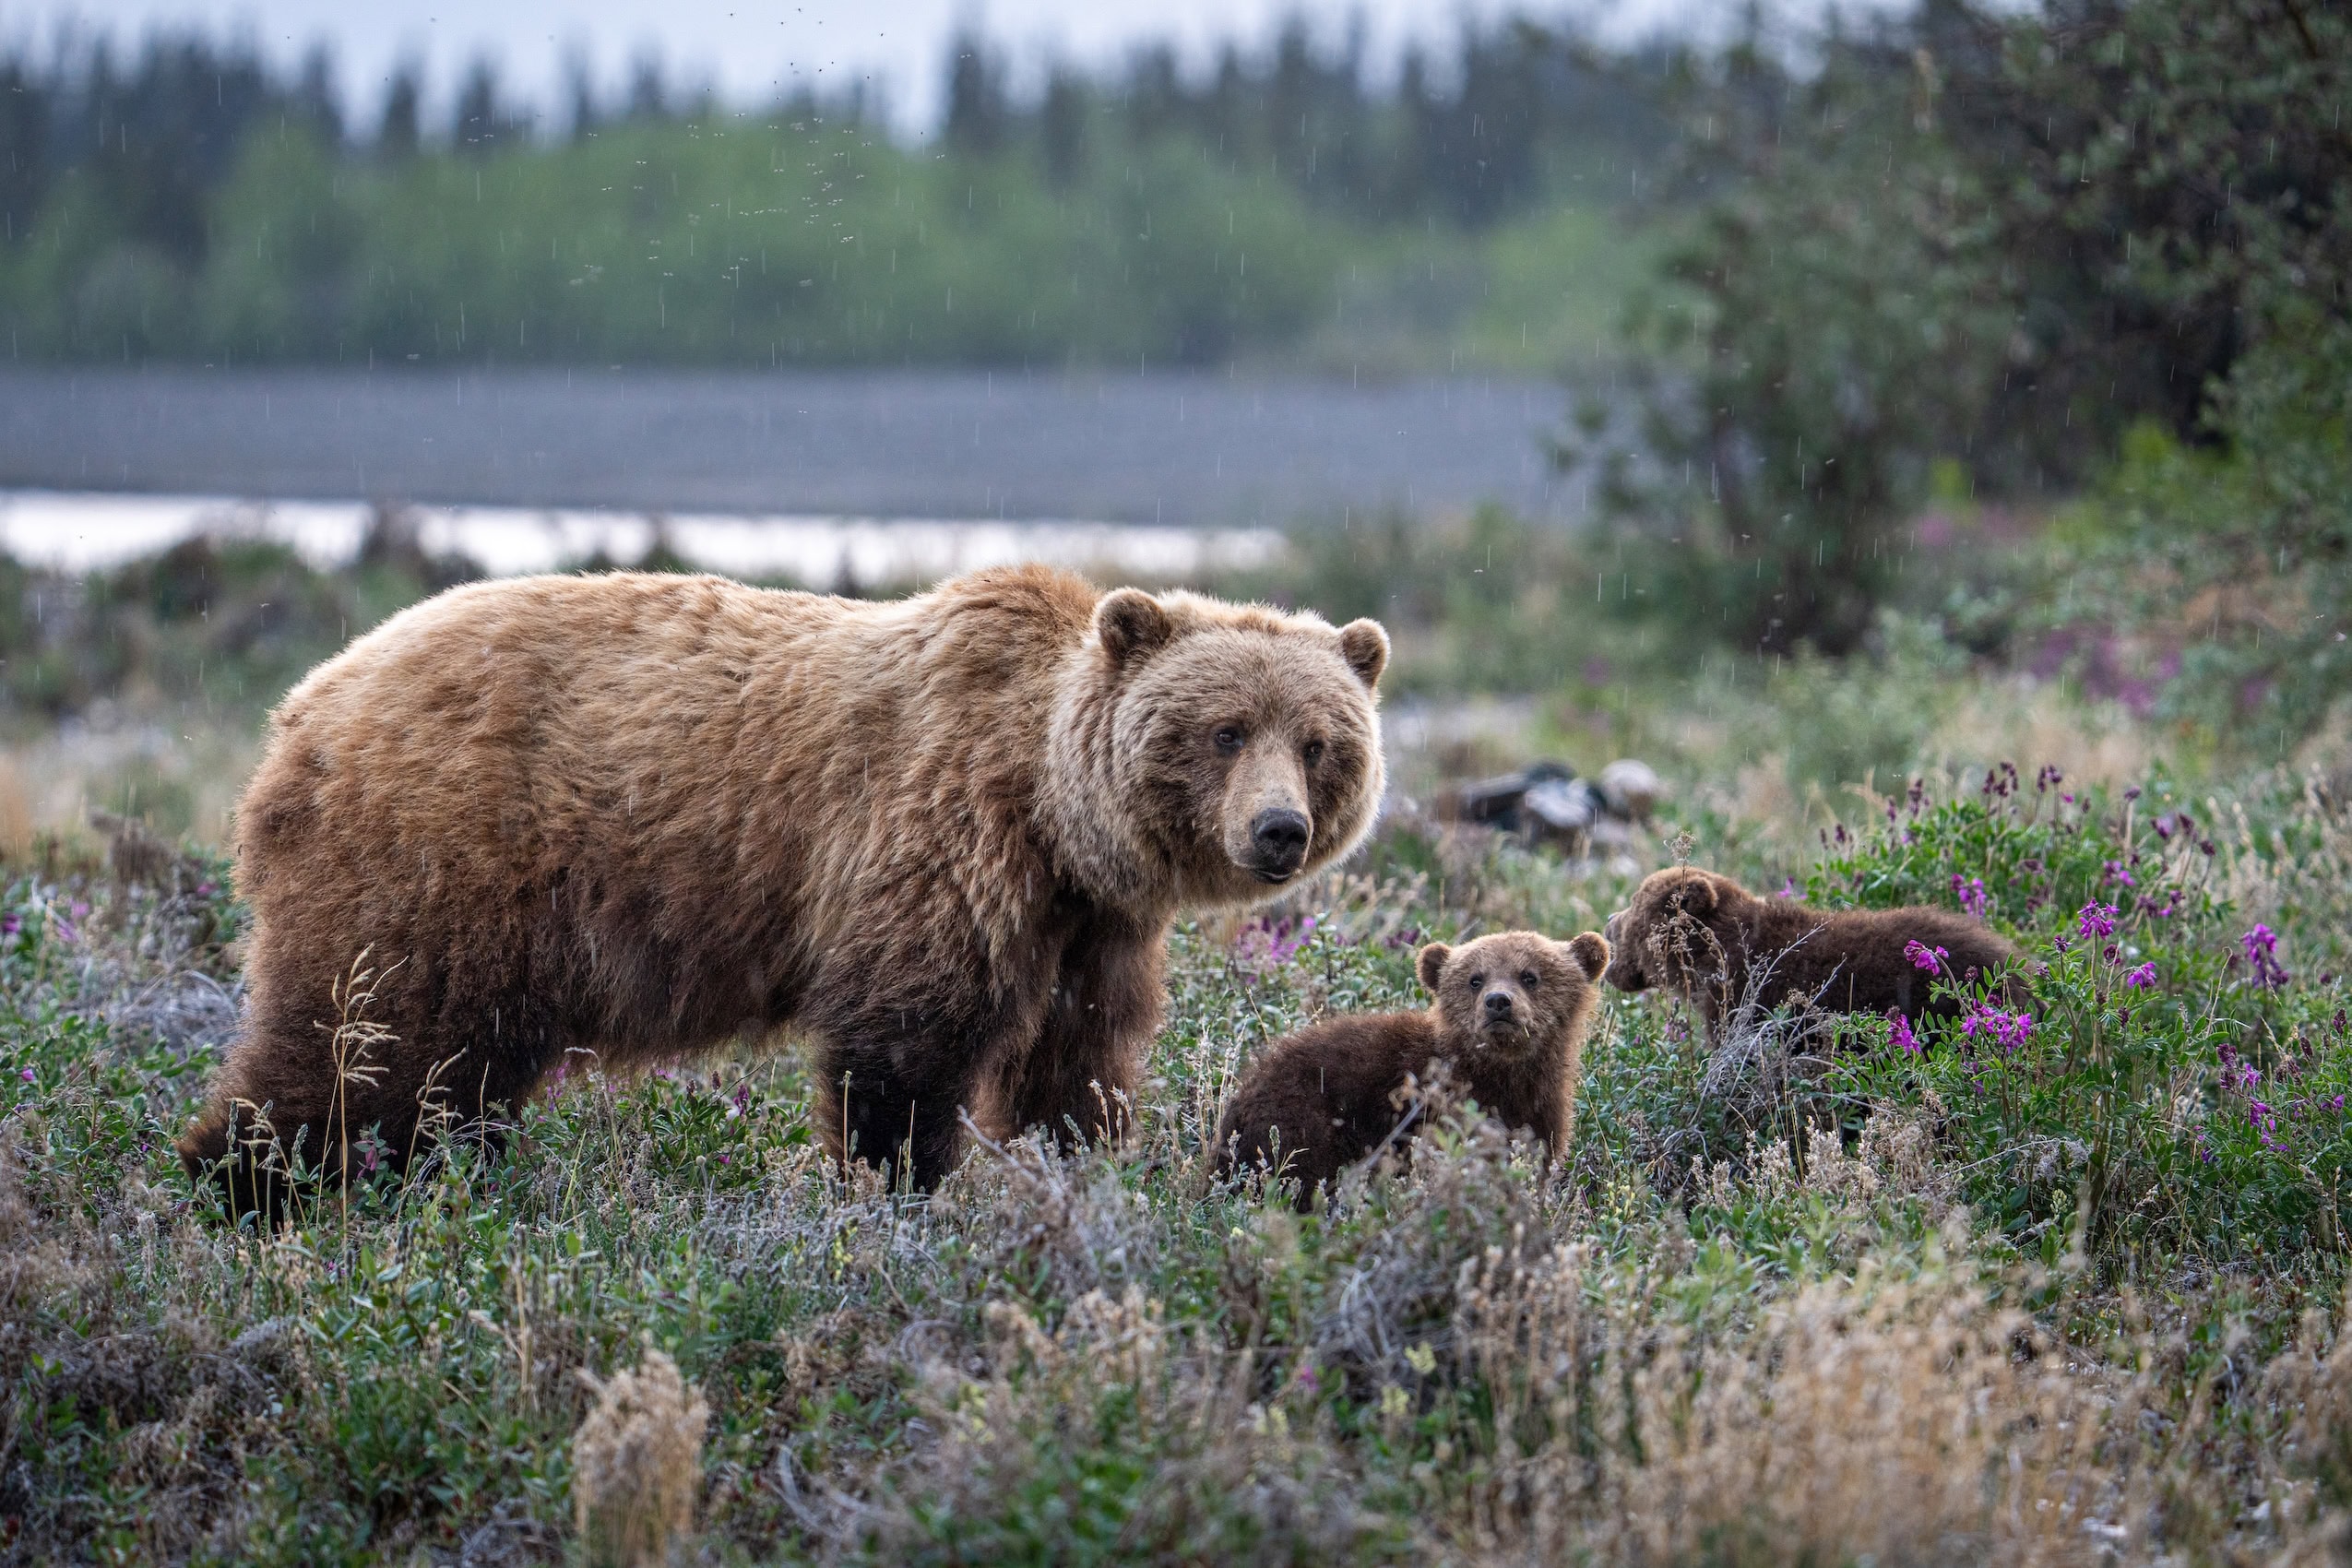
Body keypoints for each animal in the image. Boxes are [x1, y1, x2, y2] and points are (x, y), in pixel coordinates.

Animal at [176, 564, 1389, 1214]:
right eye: (1224, 728)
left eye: (1320, 741)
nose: (1277, 829)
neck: (1055, 815)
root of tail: (301, 708)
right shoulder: (938, 846)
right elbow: (902, 1055)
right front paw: (898, 1195)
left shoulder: (1090, 925)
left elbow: (1074, 1066)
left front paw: (1072, 1170)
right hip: (436, 863)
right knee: (355, 1046)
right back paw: (235, 1192)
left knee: (447, 1079)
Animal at [1212, 929, 1611, 1207]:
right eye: (1475, 978)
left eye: (1530, 975)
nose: (1499, 1002)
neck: (1501, 1075)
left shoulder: (1541, 1112)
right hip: (1299, 1118)